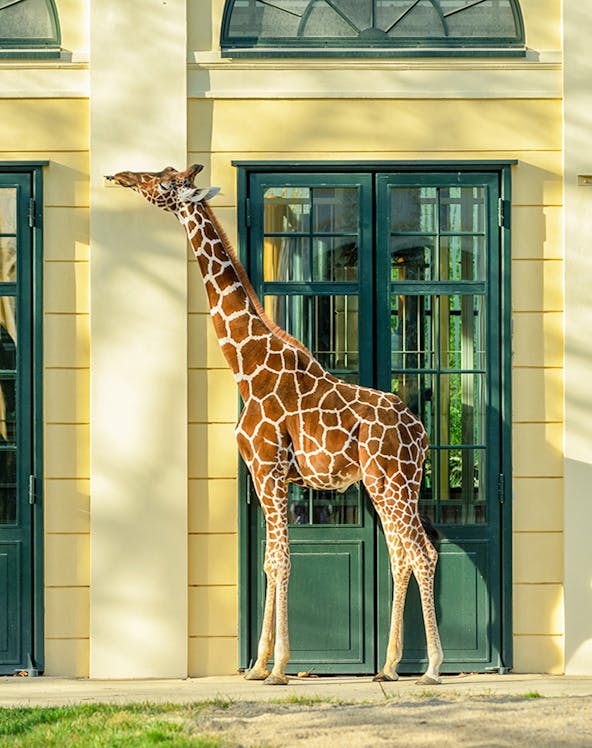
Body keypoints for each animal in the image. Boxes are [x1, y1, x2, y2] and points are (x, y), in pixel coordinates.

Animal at [106, 164, 444, 687]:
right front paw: (256, 665)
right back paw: (388, 667)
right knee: (402, 555)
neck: (245, 365)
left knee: (422, 553)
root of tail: (421, 433)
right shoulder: (262, 472)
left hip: (392, 480)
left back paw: (430, 669)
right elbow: (267, 562)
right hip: (386, 484)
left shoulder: (269, 468)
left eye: (162, 183)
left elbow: (282, 560)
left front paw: (280, 666)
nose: (121, 176)